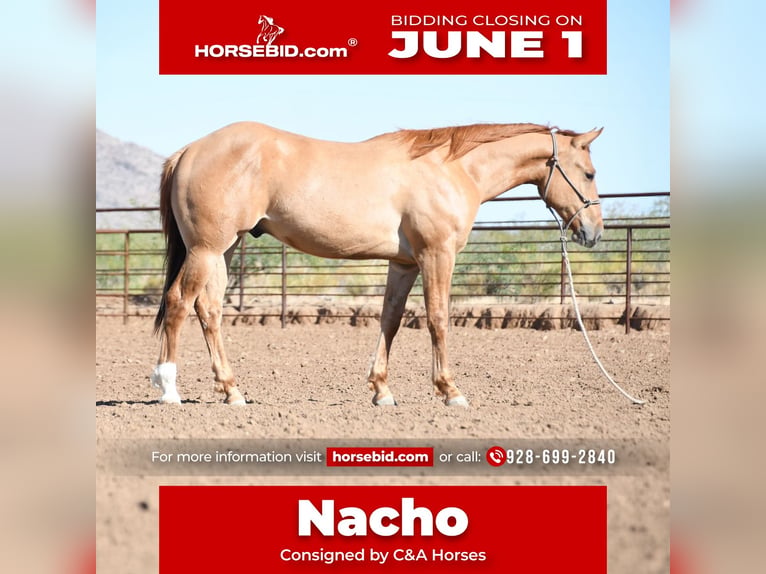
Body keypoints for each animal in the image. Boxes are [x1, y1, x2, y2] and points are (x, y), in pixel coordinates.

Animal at [150, 121, 604, 406]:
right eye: (589, 172)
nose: (594, 232)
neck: (451, 168)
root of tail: (189, 150)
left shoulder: (403, 263)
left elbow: (391, 319)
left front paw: (382, 390)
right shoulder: (437, 255)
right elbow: (438, 318)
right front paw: (450, 391)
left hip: (222, 251)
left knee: (209, 310)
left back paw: (232, 391)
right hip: (206, 249)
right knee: (178, 303)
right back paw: (169, 389)